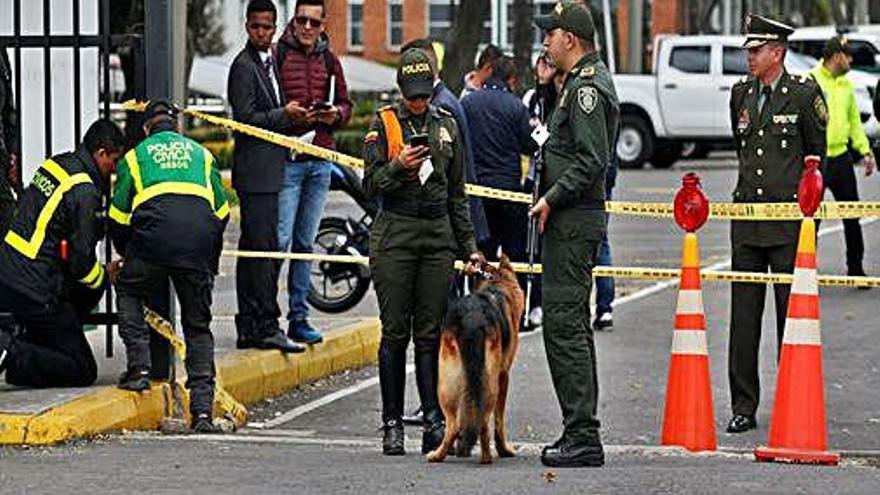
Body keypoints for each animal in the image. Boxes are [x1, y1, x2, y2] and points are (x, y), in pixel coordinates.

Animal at [426, 256, 524, 464]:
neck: (496, 284)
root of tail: (472, 318)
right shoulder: (504, 377)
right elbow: (499, 421)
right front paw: (504, 449)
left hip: (448, 380)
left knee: (455, 424)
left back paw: (440, 454)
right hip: (489, 383)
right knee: (483, 423)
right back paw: (486, 458)